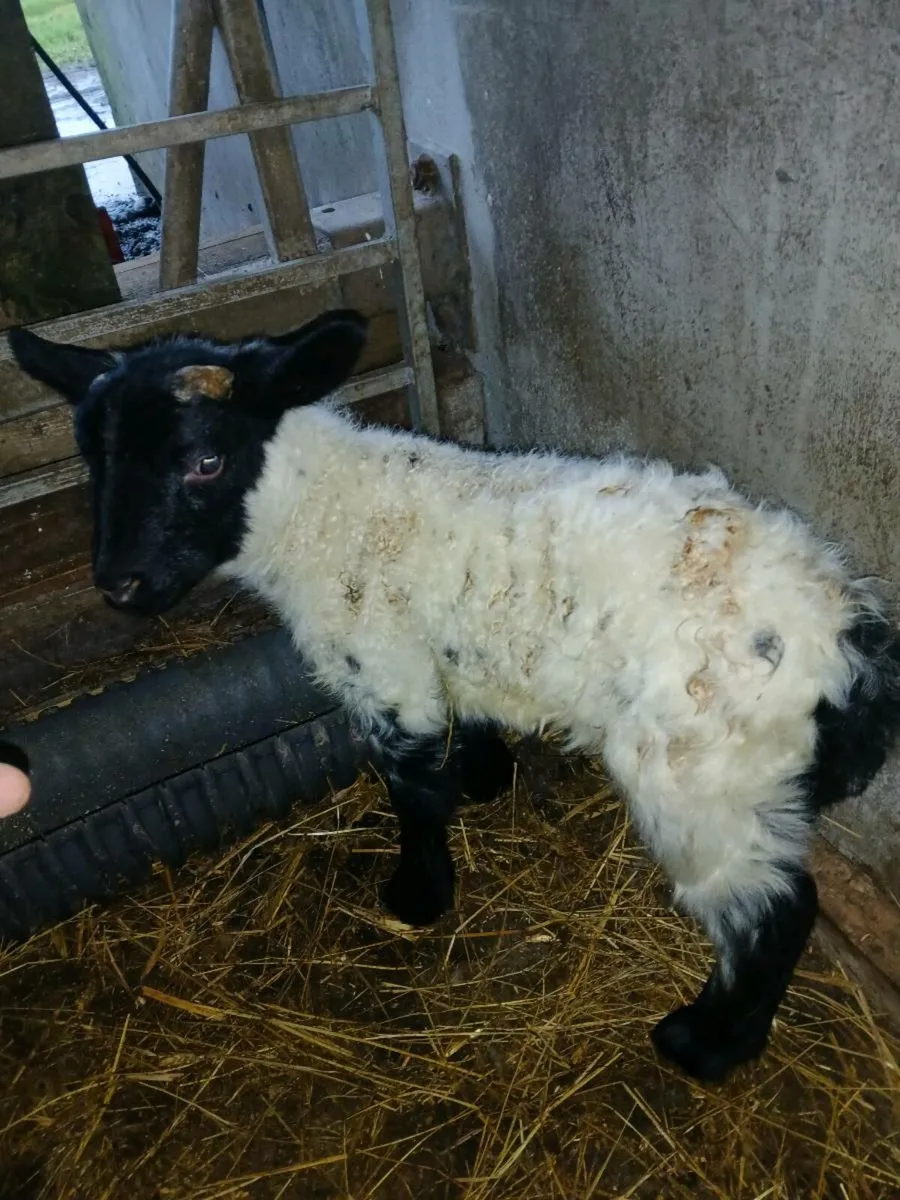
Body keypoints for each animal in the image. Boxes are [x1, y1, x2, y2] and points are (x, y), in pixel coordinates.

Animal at [10, 309, 900, 1084]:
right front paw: (482, 777)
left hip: (699, 775)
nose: (119, 584)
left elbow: (409, 787)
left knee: (774, 911)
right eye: (96, 458)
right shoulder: (450, 652)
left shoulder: (383, 666)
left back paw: (707, 1045)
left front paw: (419, 893)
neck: (321, 513)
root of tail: (850, 640)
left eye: (203, 462)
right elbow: (469, 724)